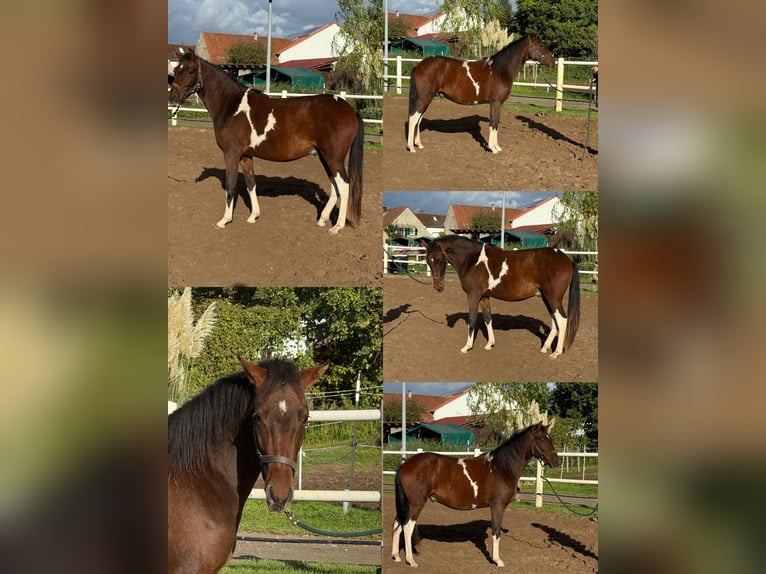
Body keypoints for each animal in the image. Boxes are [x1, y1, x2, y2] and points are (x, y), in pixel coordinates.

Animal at [168, 49, 363, 233]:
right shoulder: (245, 156)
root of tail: (349, 109)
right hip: (324, 156)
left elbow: (231, 186)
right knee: (334, 186)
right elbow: (251, 184)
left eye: (191, 71)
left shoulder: (231, 154)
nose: (172, 99)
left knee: (343, 186)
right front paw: (253, 216)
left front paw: (224, 221)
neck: (231, 106)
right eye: (176, 70)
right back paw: (322, 219)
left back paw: (337, 227)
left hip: (333, 158)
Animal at [391, 421, 559, 567]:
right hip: (416, 503)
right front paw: (497, 561)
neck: (500, 468)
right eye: (542, 439)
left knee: (397, 525)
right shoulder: (497, 506)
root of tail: (405, 465)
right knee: (407, 527)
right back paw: (411, 561)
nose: (556, 462)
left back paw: (396, 556)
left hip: (406, 505)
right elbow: (496, 532)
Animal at [407, 33, 554, 153]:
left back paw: (419, 144)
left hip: (427, 99)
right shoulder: (495, 103)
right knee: (413, 118)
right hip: (424, 98)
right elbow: (493, 124)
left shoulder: (497, 104)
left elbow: (496, 124)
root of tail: (419, 65)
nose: (552, 62)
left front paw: (497, 147)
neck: (500, 70)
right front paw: (493, 148)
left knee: (419, 120)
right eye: (541, 45)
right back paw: (411, 147)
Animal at [421, 235, 580, 358]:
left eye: (440, 259)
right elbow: (487, 319)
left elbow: (472, 319)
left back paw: (556, 353)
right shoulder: (484, 297)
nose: (438, 287)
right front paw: (489, 344)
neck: (473, 260)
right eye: (428, 260)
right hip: (546, 297)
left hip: (553, 298)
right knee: (555, 321)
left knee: (562, 320)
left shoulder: (473, 295)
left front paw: (467, 347)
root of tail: (566, 259)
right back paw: (545, 348)